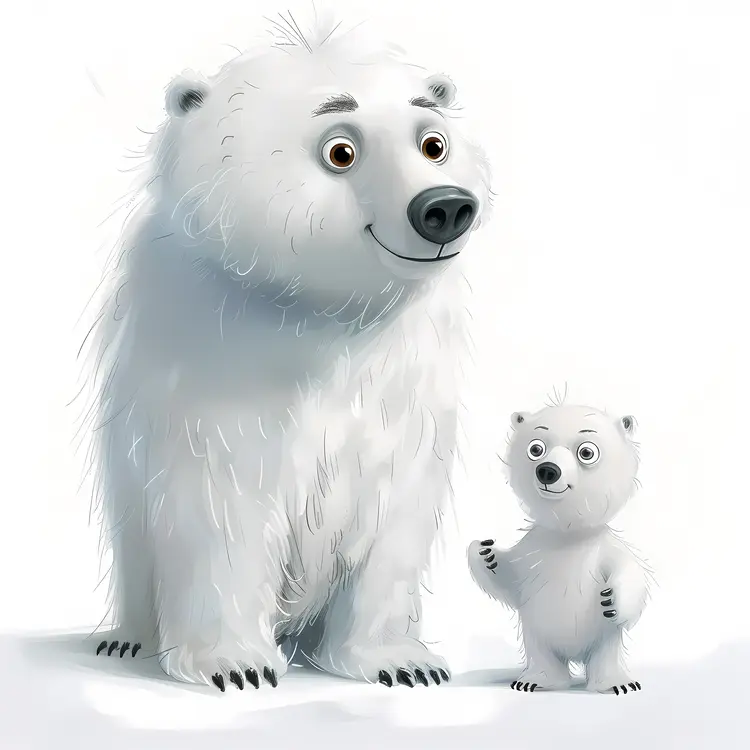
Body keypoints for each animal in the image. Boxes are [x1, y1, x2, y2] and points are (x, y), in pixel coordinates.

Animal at [81, 13, 492, 692]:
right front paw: (236, 665)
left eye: (433, 142)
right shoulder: (215, 363)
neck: (321, 311)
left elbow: (394, 517)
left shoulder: (407, 381)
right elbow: (222, 510)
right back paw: (124, 639)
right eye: (340, 151)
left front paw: (401, 662)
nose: (446, 206)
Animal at [468, 404, 650, 695]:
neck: (567, 534)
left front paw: (612, 600)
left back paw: (615, 683)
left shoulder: (606, 549)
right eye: (536, 448)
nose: (547, 470)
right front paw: (486, 554)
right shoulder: (531, 548)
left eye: (587, 452)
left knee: (605, 655)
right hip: (537, 634)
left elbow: (630, 572)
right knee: (543, 656)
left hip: (603, 639)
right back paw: (535, 680)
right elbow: (511, 579)